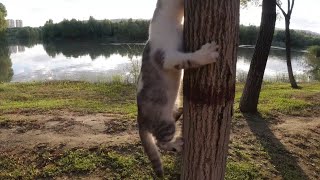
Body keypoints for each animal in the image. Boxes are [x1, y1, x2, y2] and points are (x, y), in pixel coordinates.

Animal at [136, 0, 219, 177]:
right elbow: (189, 58)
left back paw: (179, 112)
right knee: (160, 142)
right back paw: (175, 144)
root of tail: (140, 119)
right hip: (165, 123)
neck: (172, 21)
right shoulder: (167, 57)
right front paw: (206, 54)